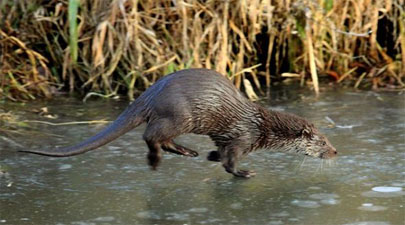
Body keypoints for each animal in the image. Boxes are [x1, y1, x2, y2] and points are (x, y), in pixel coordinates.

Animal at [20, 68, 336, 178]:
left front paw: (210, 155)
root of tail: (149, 93)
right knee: (150, 135)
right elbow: (230, 162)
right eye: (322, 141)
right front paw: (243, 173)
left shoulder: (225, 137)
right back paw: (155, 160)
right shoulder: (243, 137)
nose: (335, 152)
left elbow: (220, 153)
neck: (262, 126)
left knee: (161, 138)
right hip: (180, 115)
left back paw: (189, 152)